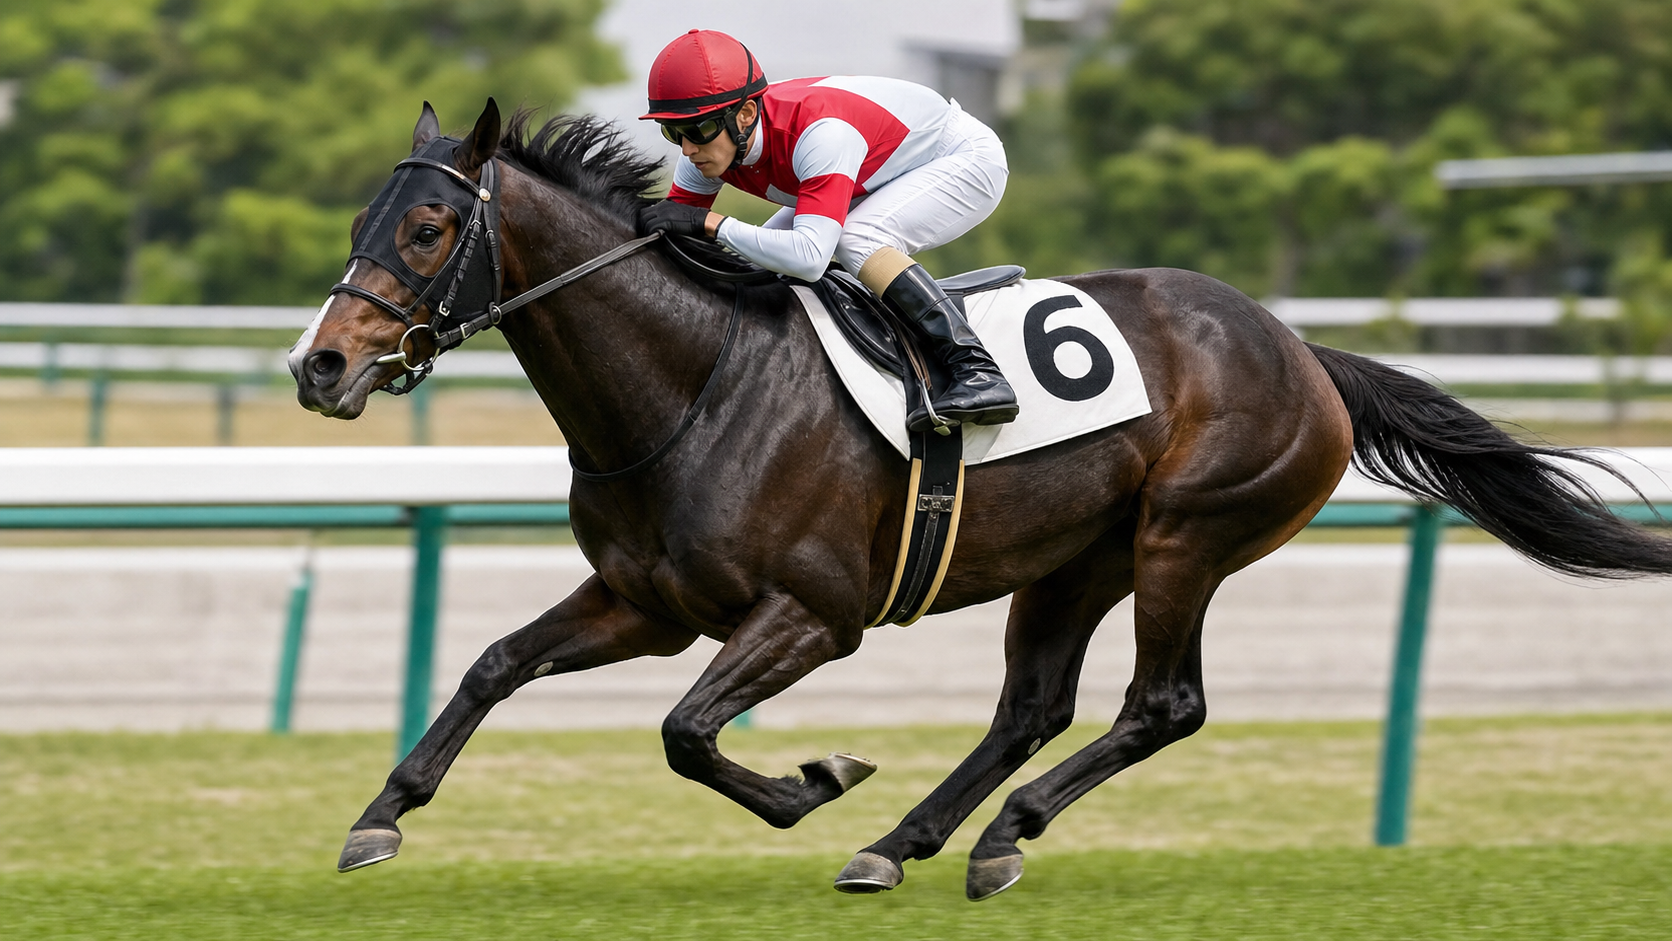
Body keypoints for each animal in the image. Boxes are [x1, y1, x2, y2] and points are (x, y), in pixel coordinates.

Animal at [291, 99, 1672, 900]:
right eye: (362, 213)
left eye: (427, 229)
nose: (320, 367)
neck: (698, 380)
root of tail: (1301, 351)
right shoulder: (648, 600)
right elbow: (492, 662)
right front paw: (377, 818)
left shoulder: (813, 614)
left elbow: (686, 731)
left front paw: (815, 777)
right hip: (1073, 559)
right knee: (1032, 705)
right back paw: (909, 840)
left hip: (1183, 536)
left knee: (1158, 703)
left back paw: (992, 835)